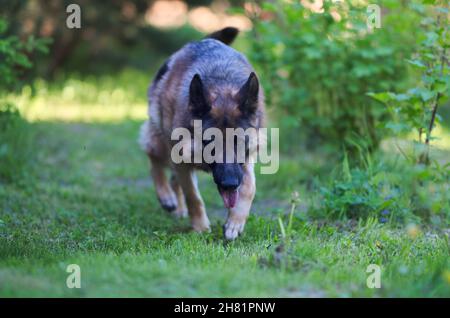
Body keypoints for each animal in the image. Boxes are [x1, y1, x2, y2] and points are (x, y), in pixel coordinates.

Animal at [139, 27, 266, 240]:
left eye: (239, 141)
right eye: (209, 142)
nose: (230, 184)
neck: (222, 85)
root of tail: (202, 41)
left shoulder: (246, 161)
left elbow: (250, 188)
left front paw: (235, 222)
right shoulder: (182, 161)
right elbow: (193, 196)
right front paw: (200, 228)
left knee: (173, 179)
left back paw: (178, 207)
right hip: (162, 143)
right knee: (153, 158)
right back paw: (166, 196)